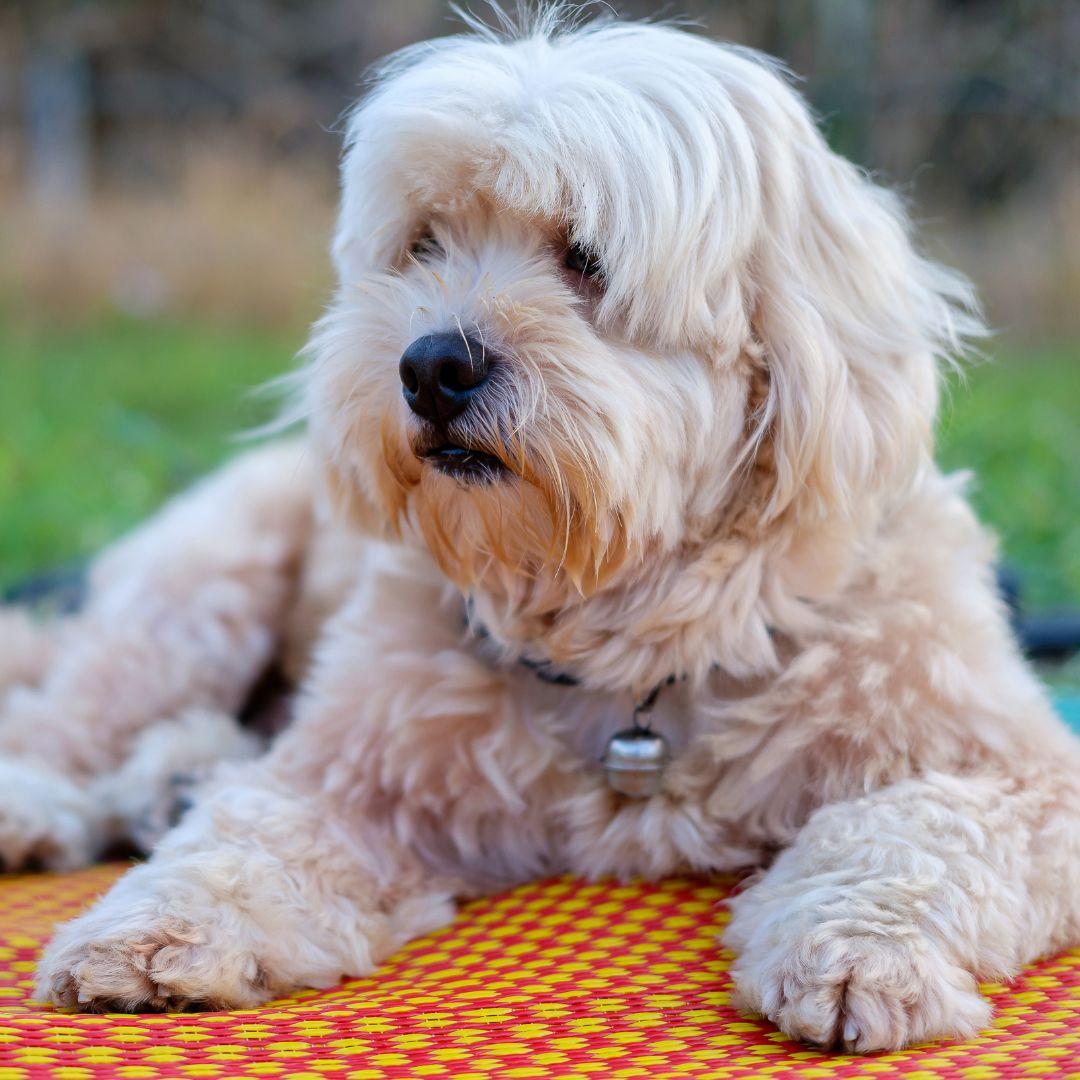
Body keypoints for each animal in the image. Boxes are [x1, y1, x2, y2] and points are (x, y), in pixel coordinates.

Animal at [2, 10, 1080, 1054]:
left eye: (586, 256)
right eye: (424, 246)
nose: (431, 366)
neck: (621, 634)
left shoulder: (1021, 774)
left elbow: (917, 828)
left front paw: (859, 946)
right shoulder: (350, 771)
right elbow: (249, 833)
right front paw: (153, 926)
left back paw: (175, 773)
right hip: (199, 590)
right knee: (73, 718)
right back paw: (55, 801)